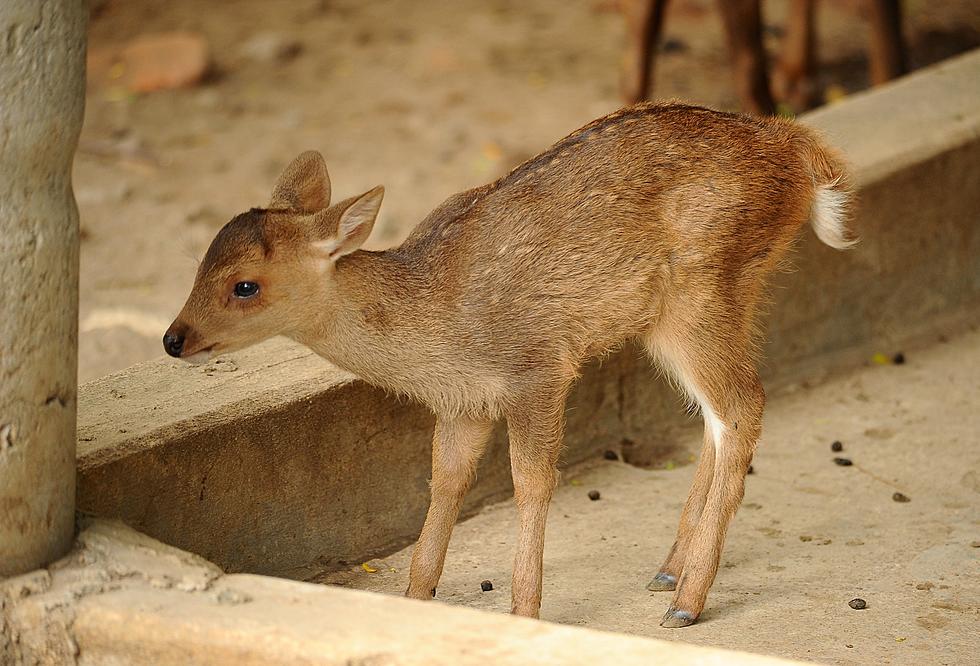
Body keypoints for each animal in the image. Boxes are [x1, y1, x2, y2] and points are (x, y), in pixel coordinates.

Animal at [167, 101, 848, 624]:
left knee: (742, 406)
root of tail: (800, 147)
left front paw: (524, 610)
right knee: (717, 414)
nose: (173, 339)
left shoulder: (537, 371)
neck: (432, 328)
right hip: (703, 304)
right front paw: (416, 594)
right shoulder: (464, 402)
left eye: (245, 286)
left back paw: (686, 602)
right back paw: (667, 571)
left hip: (702, 290)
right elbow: (445, 481)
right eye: (200, 264)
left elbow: (533, 484)